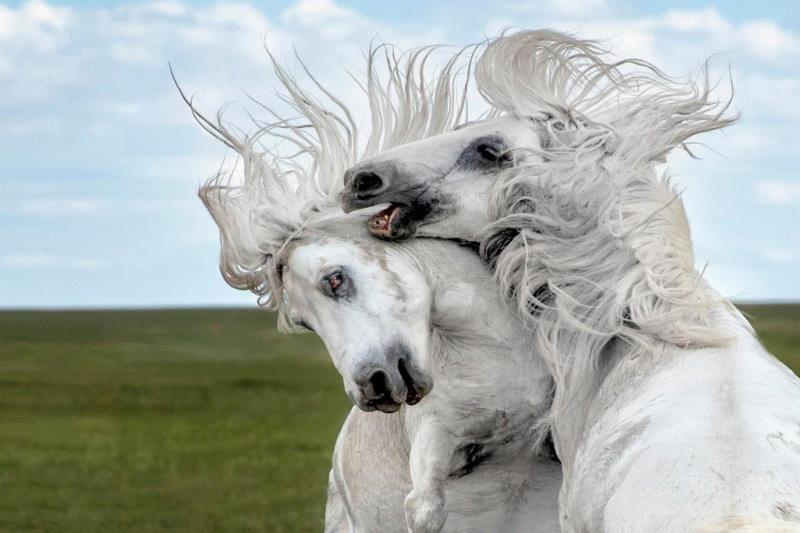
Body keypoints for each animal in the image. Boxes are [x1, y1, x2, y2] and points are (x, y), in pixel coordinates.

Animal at [190, 102, 561, 530]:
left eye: (335, 279)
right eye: (303, 323)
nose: (374, 386)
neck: (501, 352)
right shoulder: (435, 434)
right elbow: (425, 507)